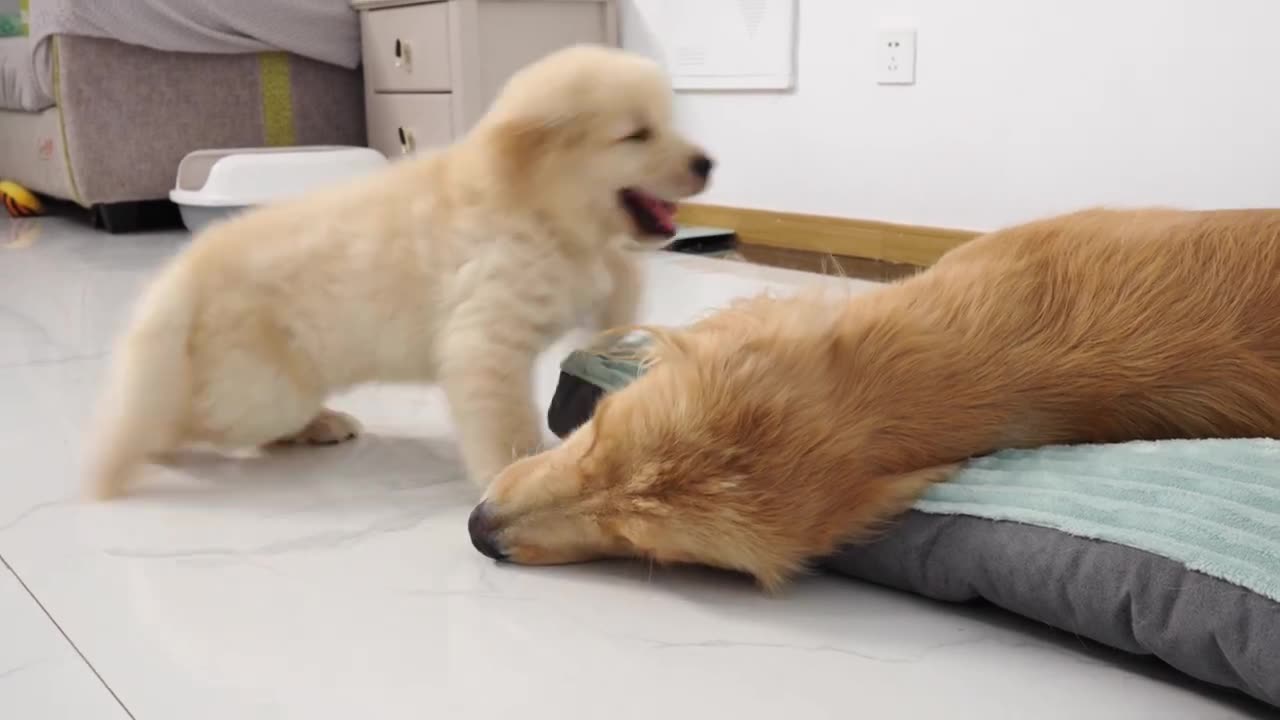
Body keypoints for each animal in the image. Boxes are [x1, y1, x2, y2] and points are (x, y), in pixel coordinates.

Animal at [86, 41, 716, 497]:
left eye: (668, 122)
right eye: (637, 134)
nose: (707, 161)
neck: (536, 208)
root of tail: (186, 269)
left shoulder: (593, 262)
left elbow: (619, 284)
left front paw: (628, 341)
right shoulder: (485, 340)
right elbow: (505, 424)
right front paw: (512, 472)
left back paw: (320, 424)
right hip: (260, 392)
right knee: (191, 423)